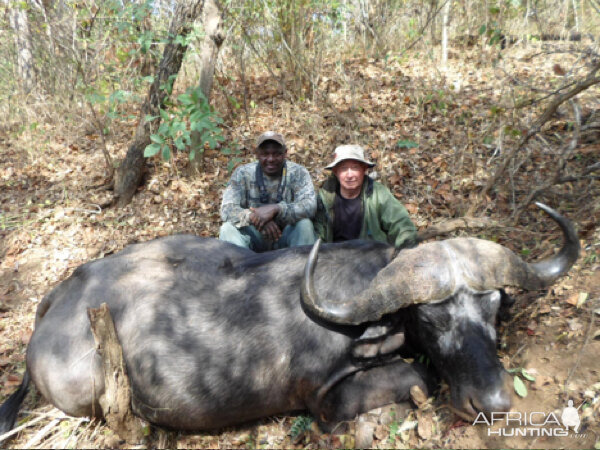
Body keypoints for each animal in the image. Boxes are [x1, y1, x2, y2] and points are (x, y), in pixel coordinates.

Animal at [1, 203, 580, 432]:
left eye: (493, 310)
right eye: (433, 321)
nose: (494, 403)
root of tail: (56, 299)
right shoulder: (327, 402)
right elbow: (417, 373)